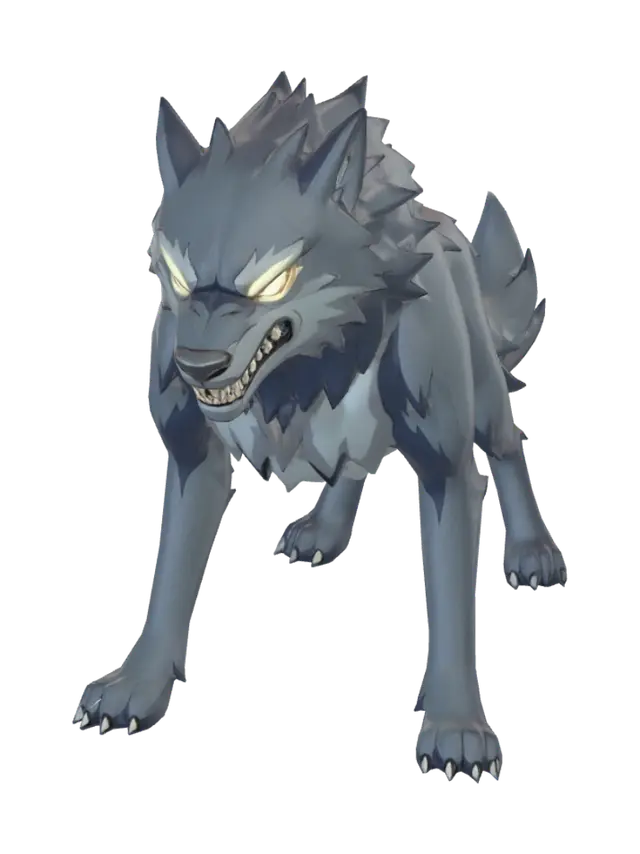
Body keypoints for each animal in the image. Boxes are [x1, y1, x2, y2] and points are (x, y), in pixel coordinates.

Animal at [73, 71, 567, 777]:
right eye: (178, 275)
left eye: (274, 281)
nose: (195, 366)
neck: (304, 371)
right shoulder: (195, 455)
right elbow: (170, 576)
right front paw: (134, 689)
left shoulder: (443, 464)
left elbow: (452, 599)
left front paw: (457, 731)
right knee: (353, 464)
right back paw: (323, 532)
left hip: (482, 392)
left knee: (505, 444)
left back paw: (534, 553)